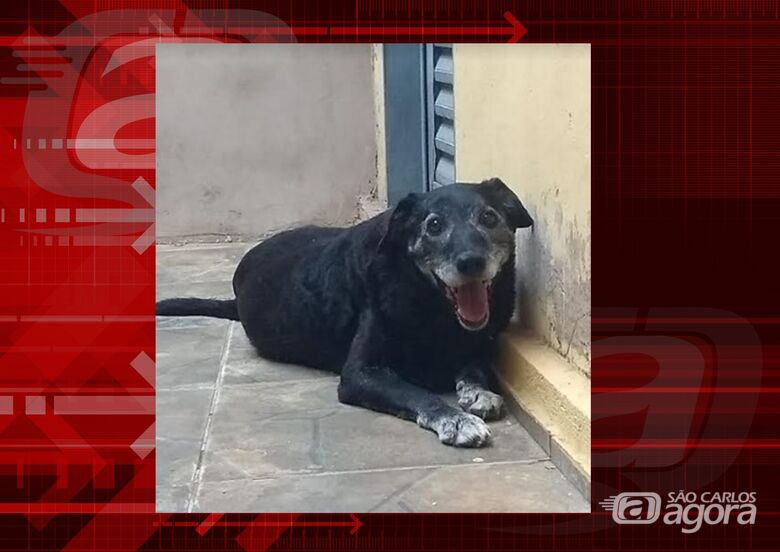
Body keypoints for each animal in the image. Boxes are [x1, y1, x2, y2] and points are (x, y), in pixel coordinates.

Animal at [158, 179, 536, 446]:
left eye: (489, 217)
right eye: (433, 225)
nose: (471, 262)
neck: (430, 304)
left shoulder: (478, 346)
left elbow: (475, 370)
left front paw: (477, 393)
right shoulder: (360, 373)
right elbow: (417, 394)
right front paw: (455, 420)